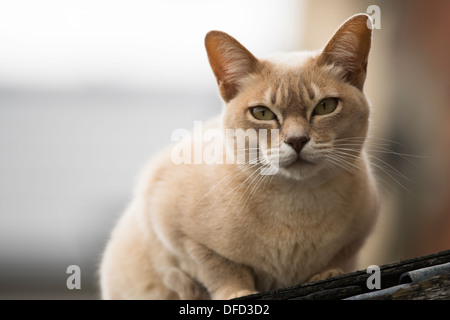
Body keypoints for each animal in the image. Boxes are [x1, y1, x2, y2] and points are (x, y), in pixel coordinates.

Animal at [99, 13, 380, 300]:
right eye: (262, 113)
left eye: (325, 106)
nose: (297, 140)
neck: (296, 202)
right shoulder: (177, 234)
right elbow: (221, 269)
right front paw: (237, 293)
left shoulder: (355, 239)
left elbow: (336, 261)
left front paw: (327, 275)